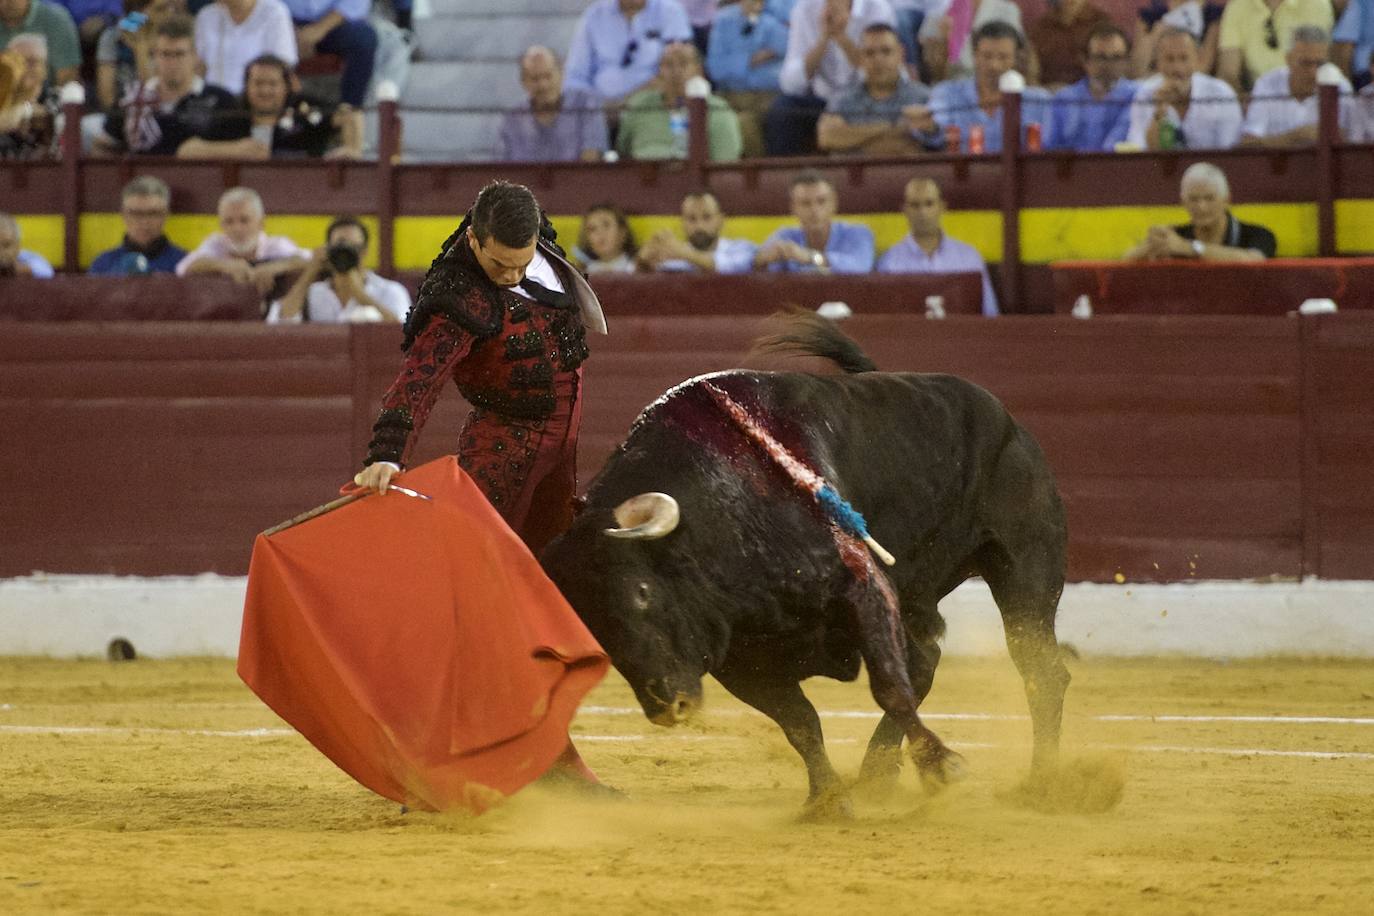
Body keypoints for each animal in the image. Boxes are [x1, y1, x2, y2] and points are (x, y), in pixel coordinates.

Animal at [538, 318, 1071, 813]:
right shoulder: (741, 660)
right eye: (588, 625)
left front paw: (942, 767)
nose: (668, 707)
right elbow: (800, 721)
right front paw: (828, 799)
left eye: (642, 591)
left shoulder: (861, 587)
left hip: (1024, 566)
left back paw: (1043, 785)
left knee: (1038, 667)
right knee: (927, 661)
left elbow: (888, 687)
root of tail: (1007, 421)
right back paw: (877, 773)